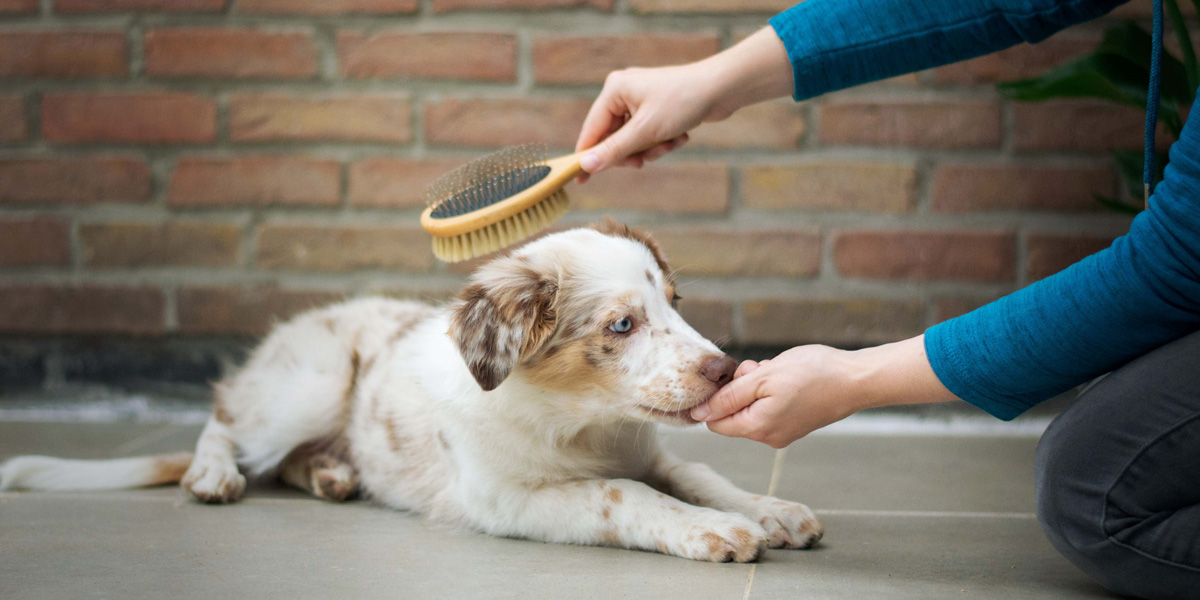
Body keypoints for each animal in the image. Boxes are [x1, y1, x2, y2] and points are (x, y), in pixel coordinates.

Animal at [0, 222, 825, 561]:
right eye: (622, 324)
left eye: (675, 305)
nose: (725, 370)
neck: (580, 425)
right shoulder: (504, 497)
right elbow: (622, 496)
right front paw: (713, 532)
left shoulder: (648, 451)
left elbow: (697, 473)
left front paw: (771, 510)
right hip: (308, 384)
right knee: (225, 418)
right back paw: (213, 475)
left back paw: (333, 474)